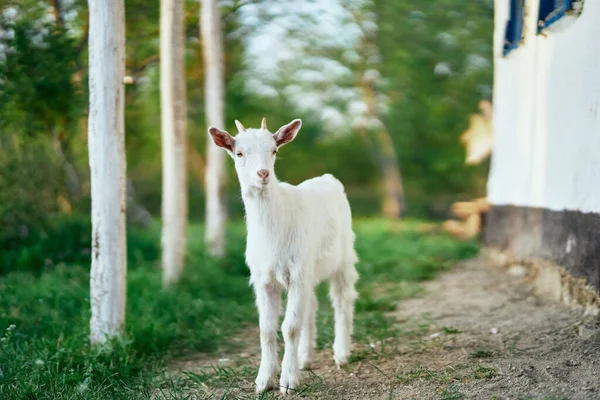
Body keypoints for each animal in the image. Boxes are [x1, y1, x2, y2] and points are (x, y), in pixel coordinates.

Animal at [209, 118, 358, 394]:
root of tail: (328, 178)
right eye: (239, 153)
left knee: (342, 299)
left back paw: (341, 354)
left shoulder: (298, 273)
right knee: (311, 305)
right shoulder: (264, 279)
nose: (263, 174)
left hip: (343, 258)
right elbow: (266, 329)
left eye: (274, 150)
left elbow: (289, 327)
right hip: (310, 268)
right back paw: (305, 358)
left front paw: (288, 381)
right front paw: (263, 380)